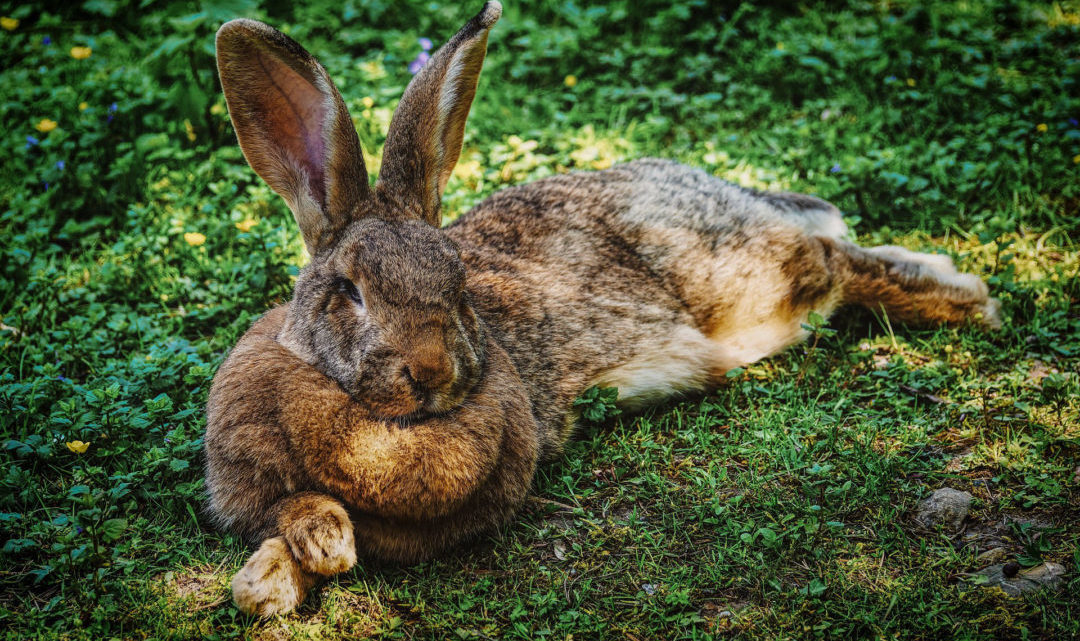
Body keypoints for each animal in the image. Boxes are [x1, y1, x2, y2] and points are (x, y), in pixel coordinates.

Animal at [206, 1, 997, 617]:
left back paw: (966, 300)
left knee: (835, 262)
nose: (431, 373)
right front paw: (280, 573)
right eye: (349, 290)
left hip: (744, 278)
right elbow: (284, 520)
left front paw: (297, 562)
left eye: (458, 283)